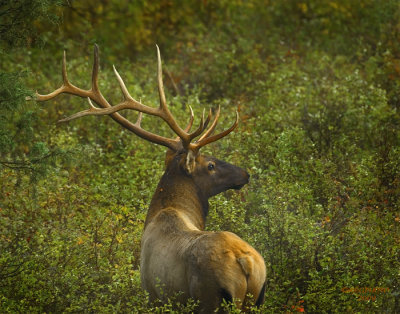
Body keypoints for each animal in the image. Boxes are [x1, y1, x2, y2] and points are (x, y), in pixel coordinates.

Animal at [37, 44, 268, 312]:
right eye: (210, 165)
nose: (245, 173)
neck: (164, 211)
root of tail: (246, 262)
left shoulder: (152, 293)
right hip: (240, 298)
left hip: (211, 298)